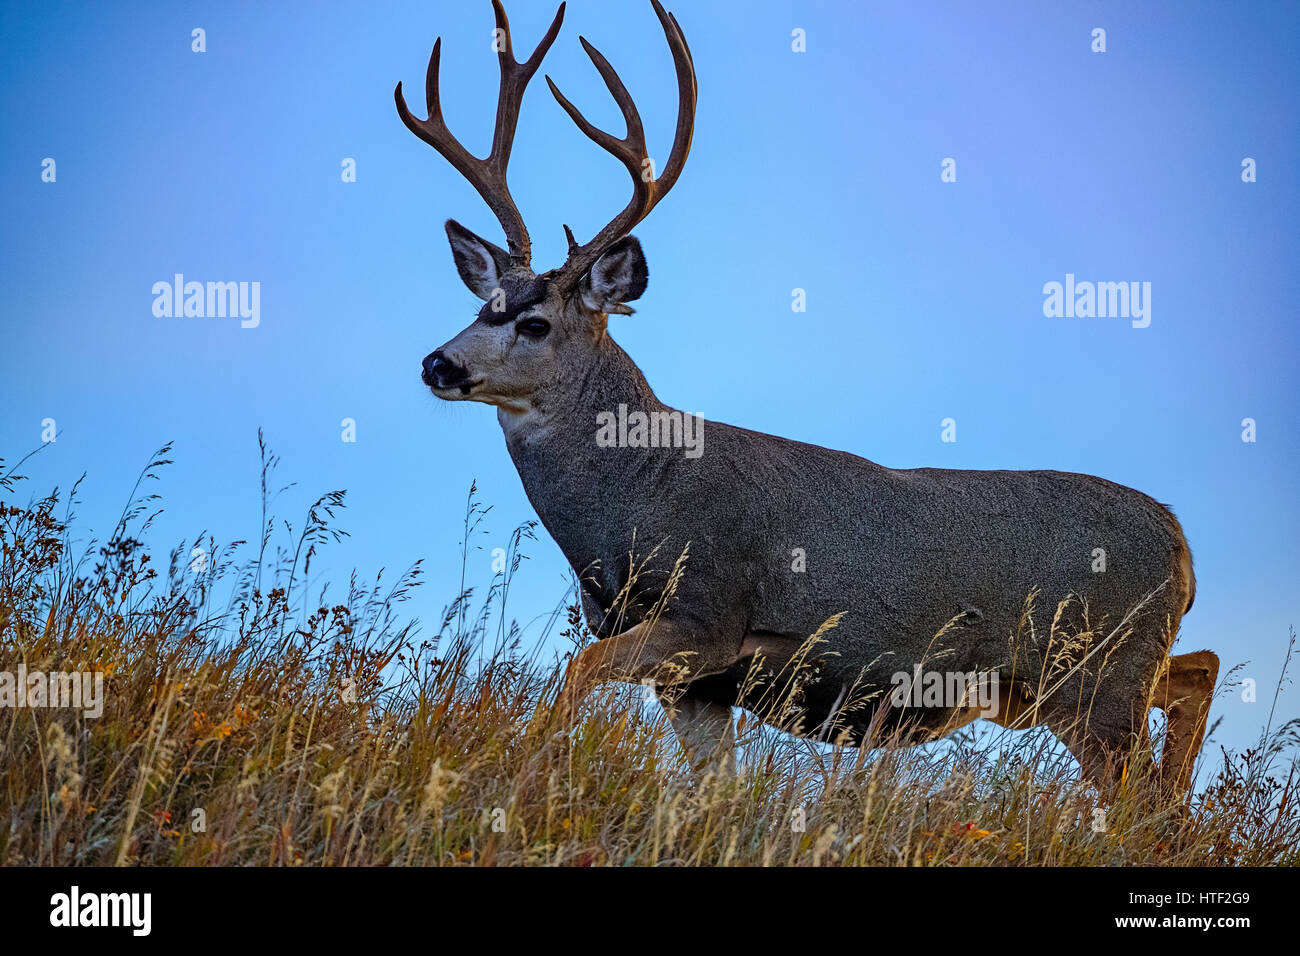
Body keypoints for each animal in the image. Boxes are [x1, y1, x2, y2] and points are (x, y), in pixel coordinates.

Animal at [395, 0, 1216, 790]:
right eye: (482, 306)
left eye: (534, 323)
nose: (437, 363)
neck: (635, 490)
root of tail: (1180, 540)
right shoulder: (697, 683)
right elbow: (713, 791)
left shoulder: (708, 615)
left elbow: (577, 671)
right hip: (1067, 684)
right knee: (1197, 676)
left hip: (1095, 675)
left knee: (1145, 788)